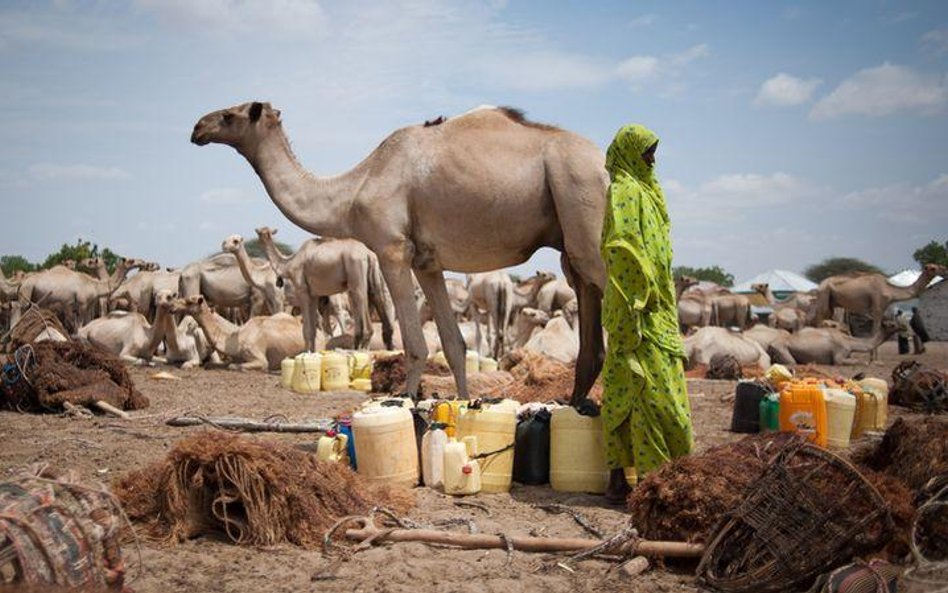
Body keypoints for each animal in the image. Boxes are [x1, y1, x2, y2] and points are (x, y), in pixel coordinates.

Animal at [250, 227, 394, 352]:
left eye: (261, 233)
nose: (259, 237)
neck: (289, 263)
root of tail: (368, 254)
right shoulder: (314, 295)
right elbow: (313, 329)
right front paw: (312, 352)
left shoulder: (302, 291)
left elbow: (306, 329)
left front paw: (306, 352)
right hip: (373, 277)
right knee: (376, 298)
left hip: (356, 276)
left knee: (362, 307)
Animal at [812, 262, 944, 336]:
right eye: (932, 268)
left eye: (937, 265)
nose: (945, 268)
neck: (889, 289)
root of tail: (821, 284)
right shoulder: (877, 308)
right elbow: (874, 332)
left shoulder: (881, 310)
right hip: (824, 297)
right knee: (819, 321)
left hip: (833, 304)